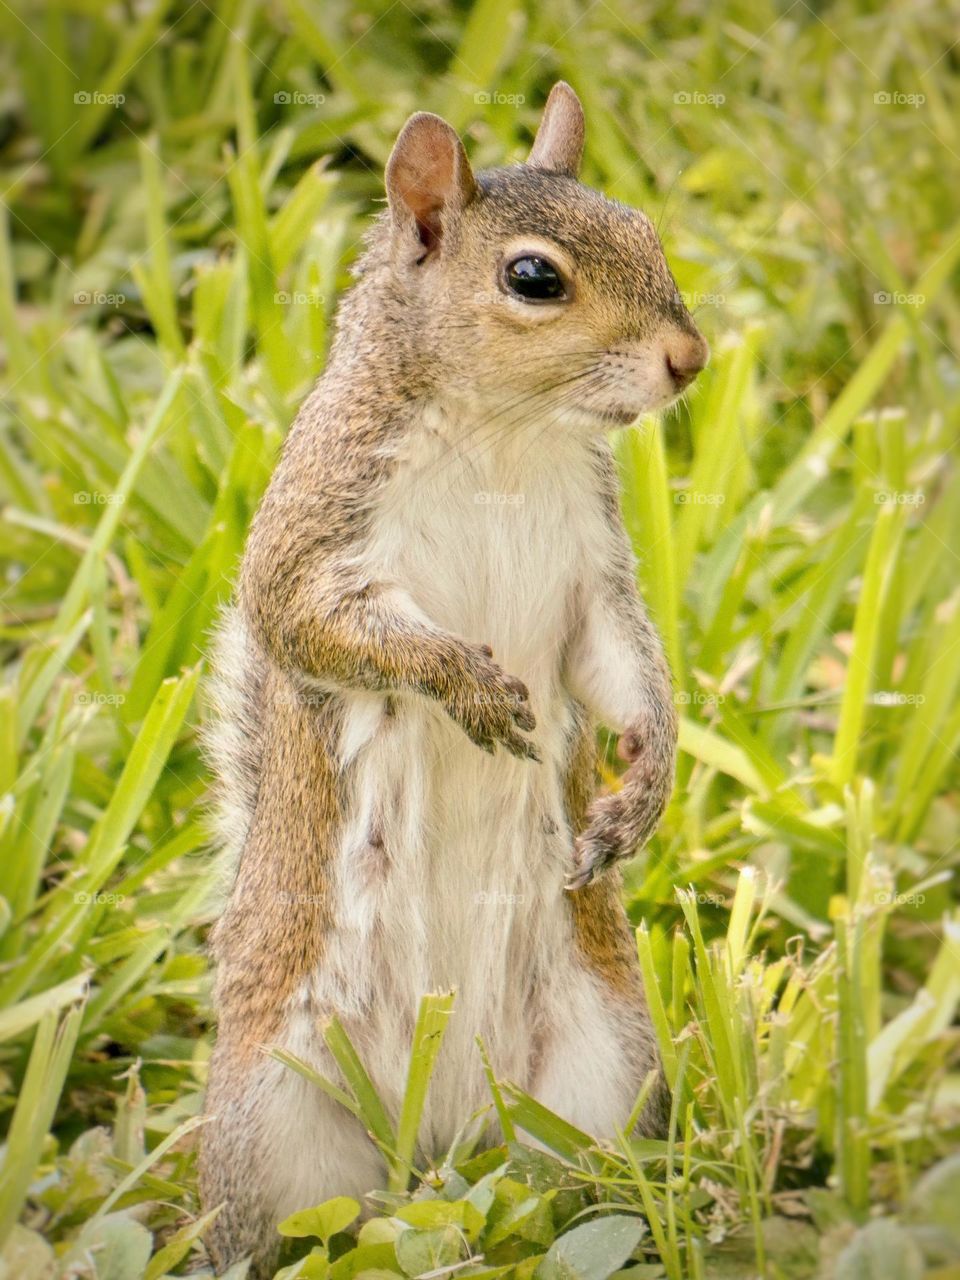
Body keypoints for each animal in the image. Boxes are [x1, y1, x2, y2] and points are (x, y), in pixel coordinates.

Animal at [197, 85, 706, 1274]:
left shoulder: (590, 571)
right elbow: (313, 622)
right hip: (273, 1122)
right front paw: (464, 684)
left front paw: (645, 786)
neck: (502, 433)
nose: (690, 359)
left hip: (603, 1067)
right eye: (534, 279)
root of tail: (431, 1137)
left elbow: (620, 666)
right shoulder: (320, 527)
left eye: (647, 231)